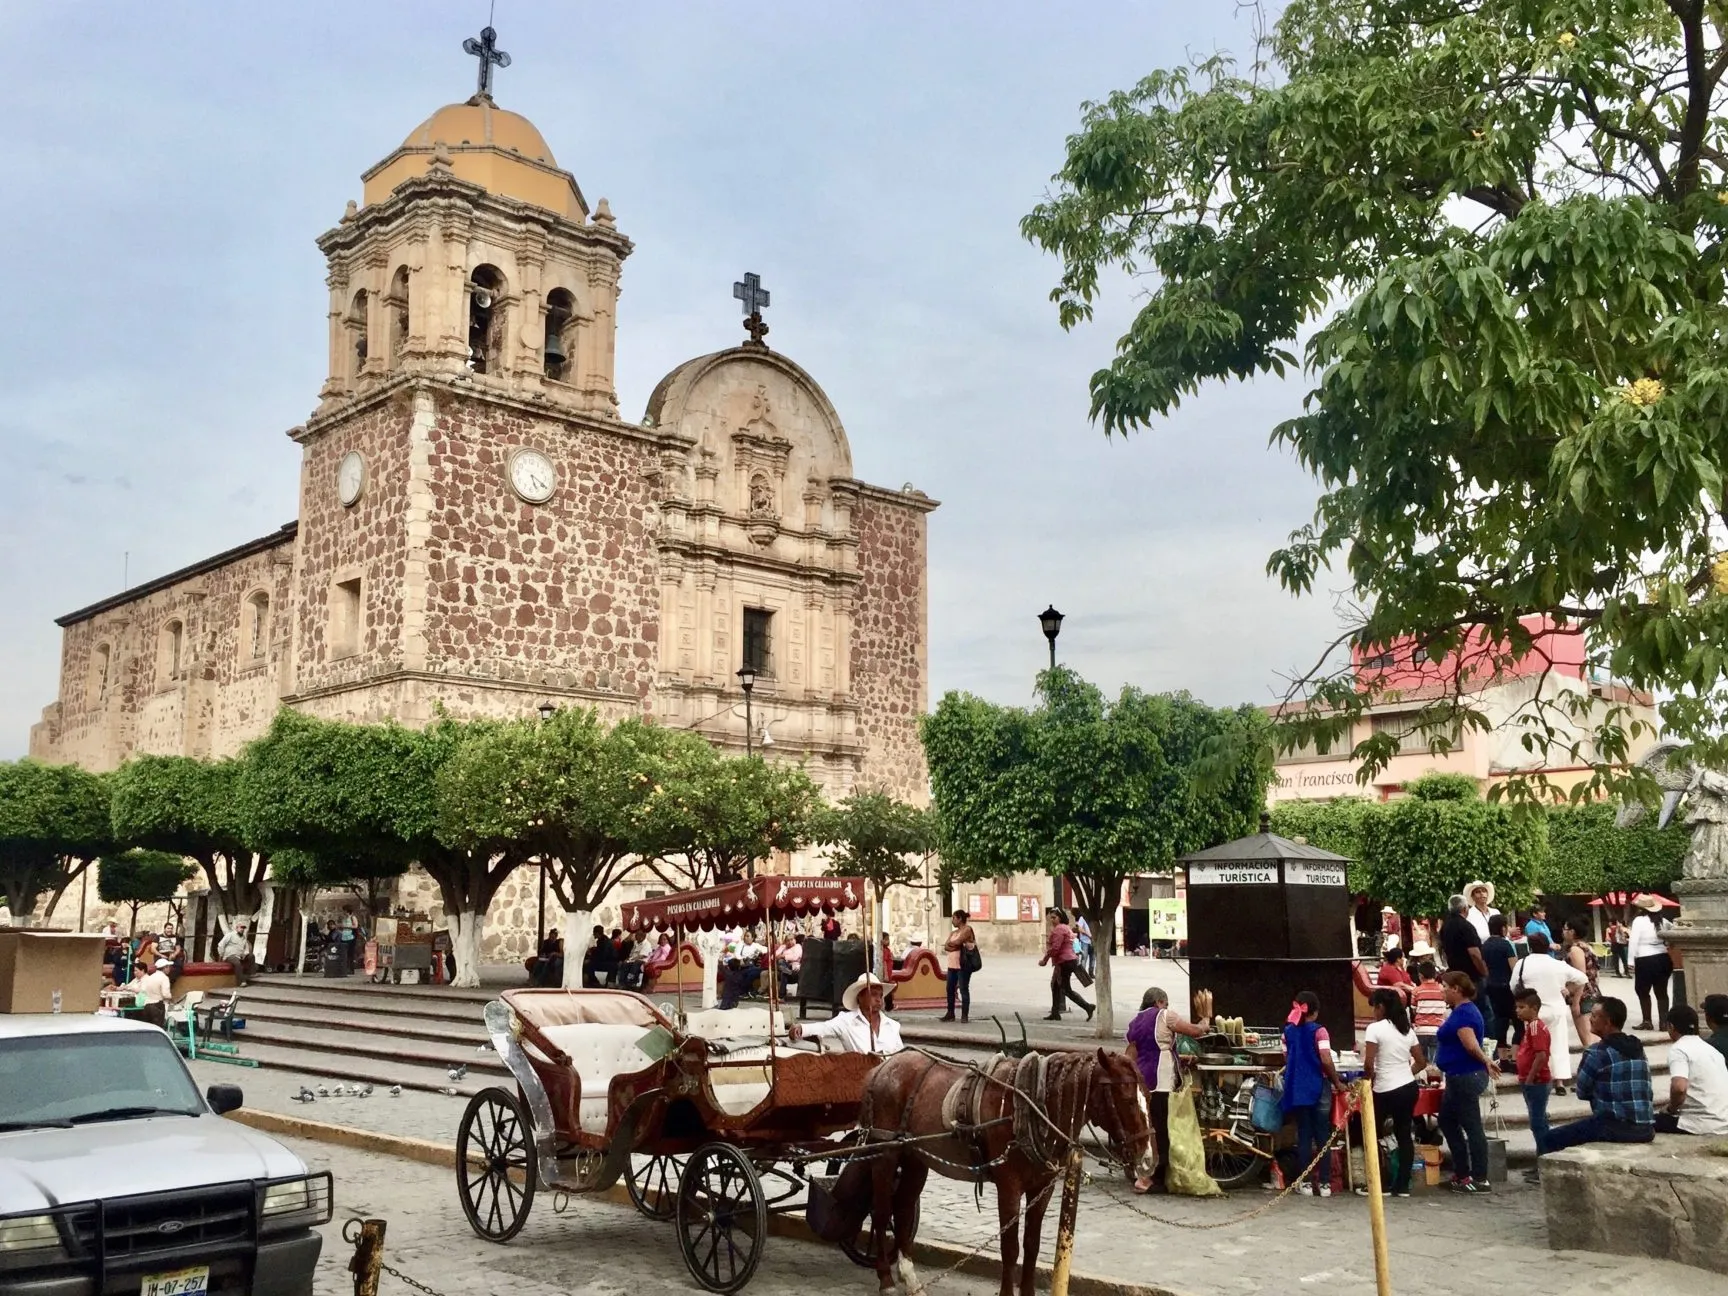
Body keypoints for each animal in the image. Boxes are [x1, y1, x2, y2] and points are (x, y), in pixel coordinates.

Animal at [829, 1050, 1154, 1296]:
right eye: (1126, 1099)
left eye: (1148, 1096)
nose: (1148, 1159)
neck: (1033, 1107)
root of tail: (883, 1067)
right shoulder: (1008, 1186)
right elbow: (1010, 1248)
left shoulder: (1043, 1186)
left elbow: (1032, 1246)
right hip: (885, 1153)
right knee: (882, 1210)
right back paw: (886, 1278)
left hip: (916, 1158)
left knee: (904, 1208)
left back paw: (910, 1278)